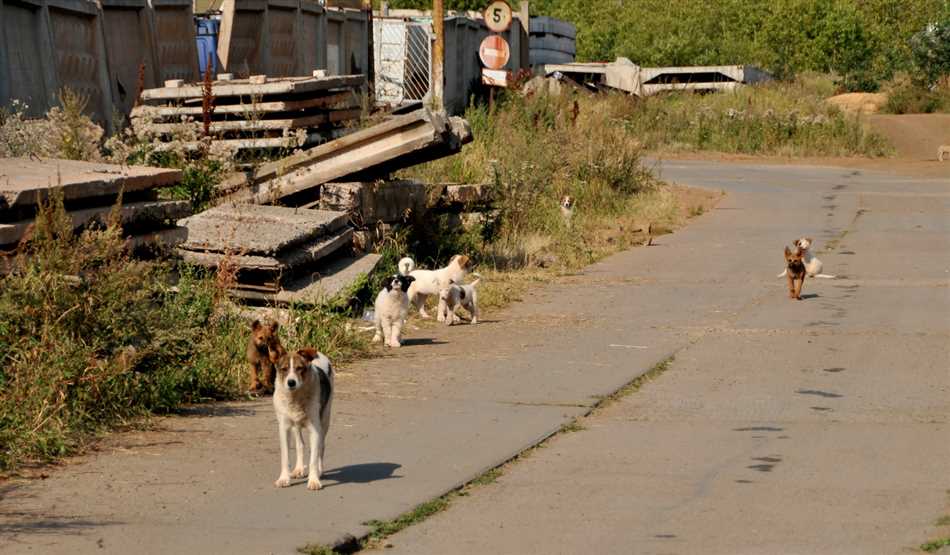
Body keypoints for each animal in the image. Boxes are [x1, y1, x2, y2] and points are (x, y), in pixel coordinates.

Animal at [272, 350, 334, 494]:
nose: (291, 382)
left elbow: (313, 458)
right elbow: (285, 456)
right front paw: (284, 478)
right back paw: (299, 468)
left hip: (325, 419)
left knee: (321, 446)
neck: (295, 397)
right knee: (300, 444)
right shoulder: (284, 428)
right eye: (284, 369)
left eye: (299, 368)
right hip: (296, 425)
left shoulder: (315, 430)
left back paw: (319, 470)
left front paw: (314, 480)